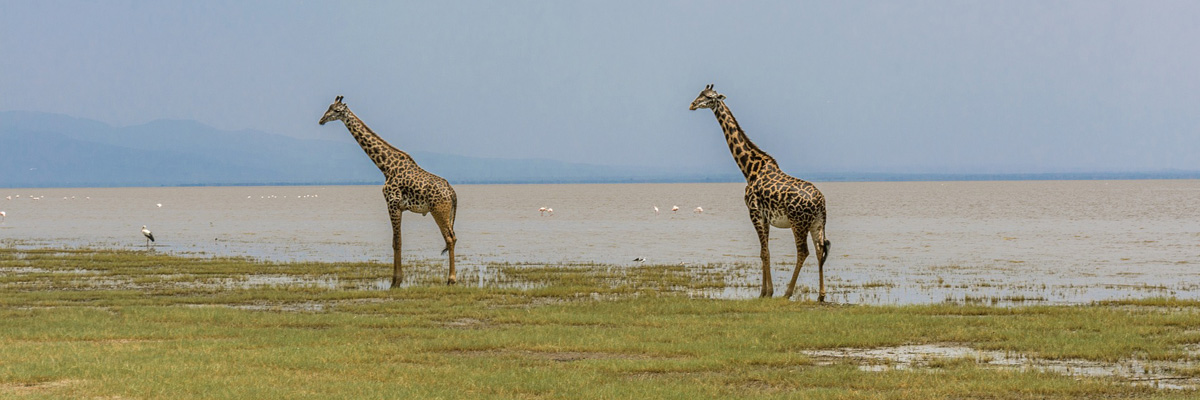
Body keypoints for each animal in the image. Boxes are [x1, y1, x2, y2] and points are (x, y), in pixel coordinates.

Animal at [319, 94, 458, 284]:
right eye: (329, 107)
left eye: (336, 110)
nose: (322, 120)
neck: (386, 167)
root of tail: (452, 193)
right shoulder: (398, 207)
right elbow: (396, 241)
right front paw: (396, 278)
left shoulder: (392, 204)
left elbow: (396, 242)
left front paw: (396, 280)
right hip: (447, 212)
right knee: (453, 237)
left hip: (439, 211)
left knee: (449, 238)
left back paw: (451, 279)